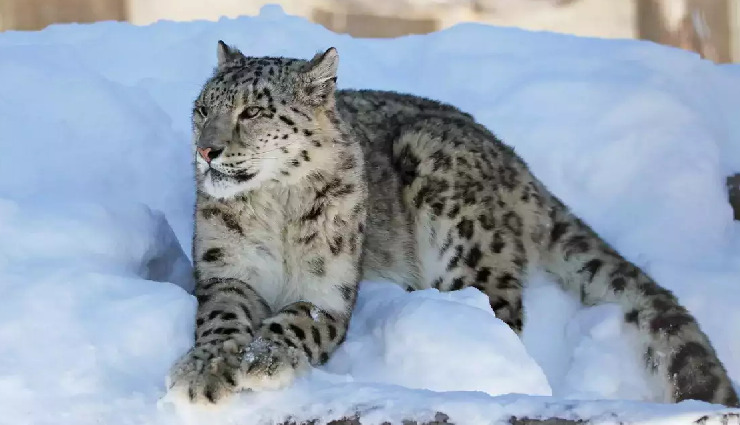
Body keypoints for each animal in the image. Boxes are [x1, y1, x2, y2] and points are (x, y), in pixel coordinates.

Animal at [166, 41, 739, 408]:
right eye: (201, 108)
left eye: (253, 111)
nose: (205, 149)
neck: (276, 210)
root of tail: (517, 164)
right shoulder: (225, 270)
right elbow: (221, 319)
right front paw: (202, 373)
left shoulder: (329, 288)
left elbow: (296, 321)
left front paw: (263, 360)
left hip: (461, 228)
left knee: (498, 317)